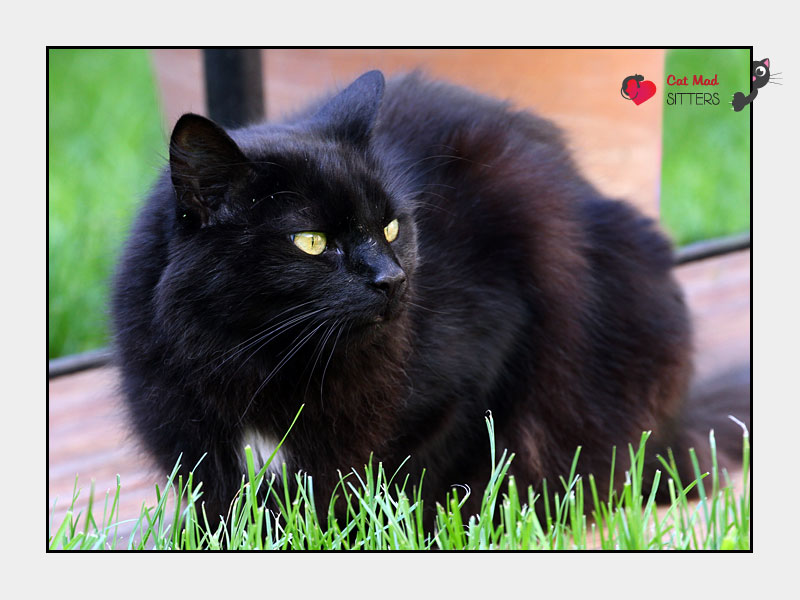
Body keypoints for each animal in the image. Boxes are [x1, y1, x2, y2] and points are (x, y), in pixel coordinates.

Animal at [111, 70, 744, 524]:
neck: (265, 358)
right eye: (310, 241)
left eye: (391, 227)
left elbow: (411, 475)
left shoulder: (475, 367)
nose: (392, 279)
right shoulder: (195, 438)